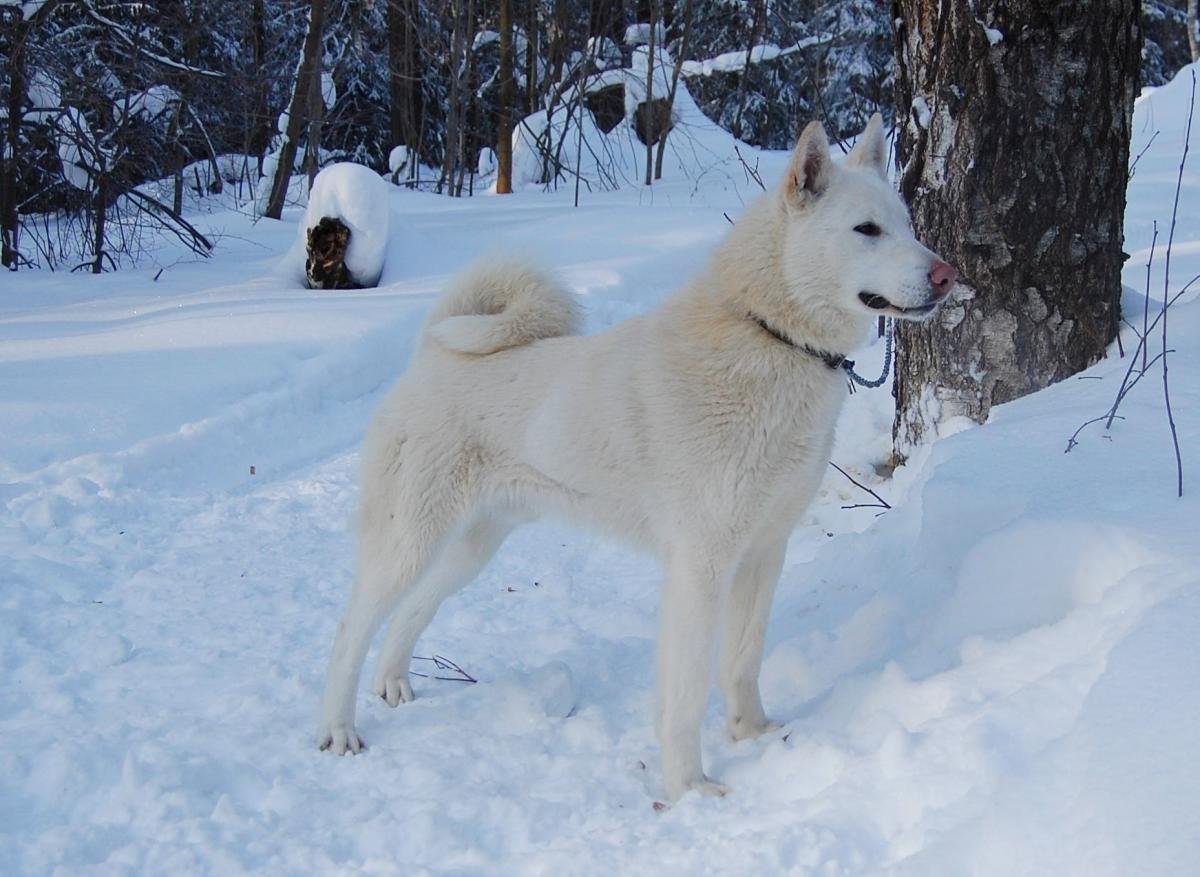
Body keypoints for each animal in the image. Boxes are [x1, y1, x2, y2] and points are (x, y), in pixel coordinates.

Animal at [319, 115, 955, 801]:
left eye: (906, 225)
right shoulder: (700, 567)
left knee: (412, 610)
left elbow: (742, 661)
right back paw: (338, 731)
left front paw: (754, 735)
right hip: (409, 541)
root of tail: (430, 354)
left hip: (470, 547)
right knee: (349, 631)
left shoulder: (764, 552)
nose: (947, 277)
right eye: (866, 230)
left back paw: (392, 683)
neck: (769, 336)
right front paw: (690, 790)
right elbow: (684, 695)